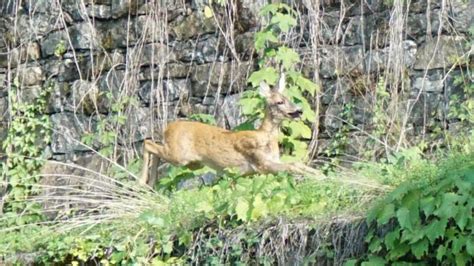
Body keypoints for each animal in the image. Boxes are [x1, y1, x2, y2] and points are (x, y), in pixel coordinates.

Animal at [140, 72, 322, 185]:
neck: (264, 137)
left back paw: (150, 184)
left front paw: (322, 175)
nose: (299, 111)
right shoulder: (260, 163)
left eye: (289, 98)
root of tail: (168, 128)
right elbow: (292, 166)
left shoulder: (273, 160)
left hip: (192, 163)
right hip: (179, 155)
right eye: (279, 102)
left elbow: (297, 163)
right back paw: (142, 182)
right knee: (147, 143)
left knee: (154, 147)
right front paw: (319, 178)